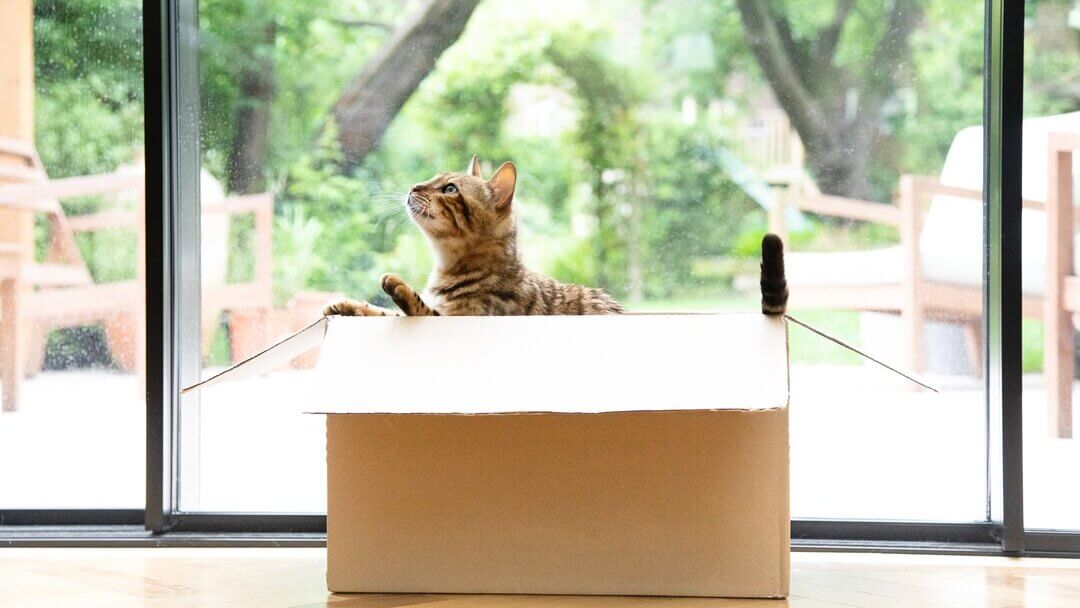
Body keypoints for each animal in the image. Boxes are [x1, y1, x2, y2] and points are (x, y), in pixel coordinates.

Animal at [321, 155, 626, 319]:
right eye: (433, 179)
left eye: (450, 189)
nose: (413, 187)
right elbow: (383, 312)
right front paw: (349, 305)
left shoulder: (460, 317)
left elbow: (421, 309)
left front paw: (402, 288)